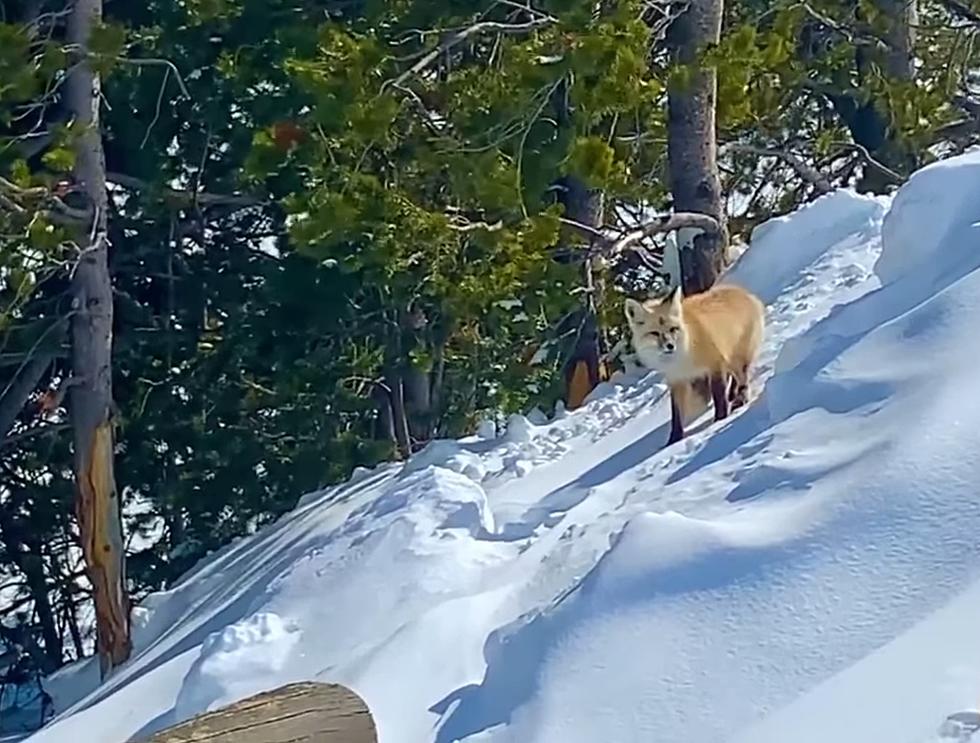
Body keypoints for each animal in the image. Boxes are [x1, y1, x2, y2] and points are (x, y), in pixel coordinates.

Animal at [628, 284, 764, 448]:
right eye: (654, 333)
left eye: (673, 329)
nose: (670, 346)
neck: (684, 355)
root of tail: (742, 291)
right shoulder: (677, 380)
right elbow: (677, 416)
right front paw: (674, 441)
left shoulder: (715, 365)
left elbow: (718, 396)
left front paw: (720, 419)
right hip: (730, 361)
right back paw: (733, 394)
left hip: (736, 359)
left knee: (742, 379)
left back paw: (740, 398)